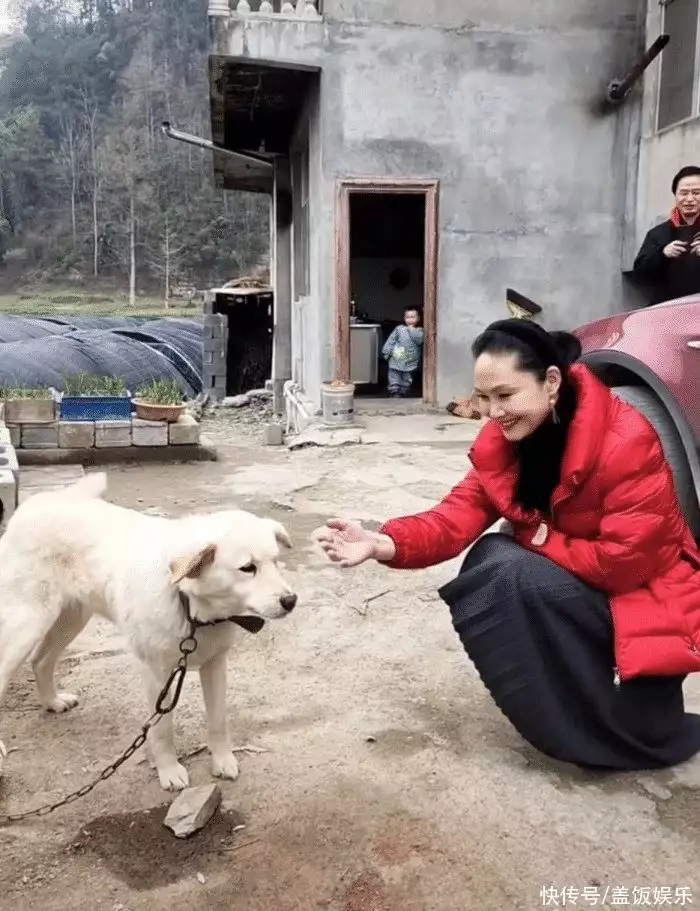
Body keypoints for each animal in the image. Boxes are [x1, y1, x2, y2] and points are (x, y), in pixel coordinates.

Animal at [0, 478, 298, 792]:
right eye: (248, 568)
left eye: (276, 562)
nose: (291, 601)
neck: (191, 609)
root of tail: (36, 503)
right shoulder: (157, 674)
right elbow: (162, 730)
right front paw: (169, 771)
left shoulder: (215, 665)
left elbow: (218, 721)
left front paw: (222, 761)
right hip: (27, 626)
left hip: (71, 619)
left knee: (41, 661)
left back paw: (53, 702)